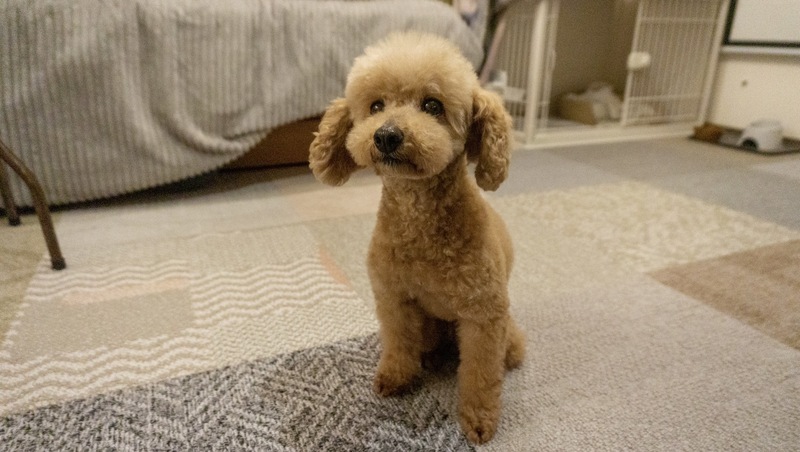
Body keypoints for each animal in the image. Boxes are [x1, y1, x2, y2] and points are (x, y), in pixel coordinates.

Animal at [308, 32, 525, 444]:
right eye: (376, 105)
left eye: (432, 105)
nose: (387, 135)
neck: (419, 218)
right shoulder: (395, 297)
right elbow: (397, 341)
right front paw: (396, 377)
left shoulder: (483, 316)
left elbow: (480, 374)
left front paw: (478, 420)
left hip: (501, 324)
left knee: (508, 347)